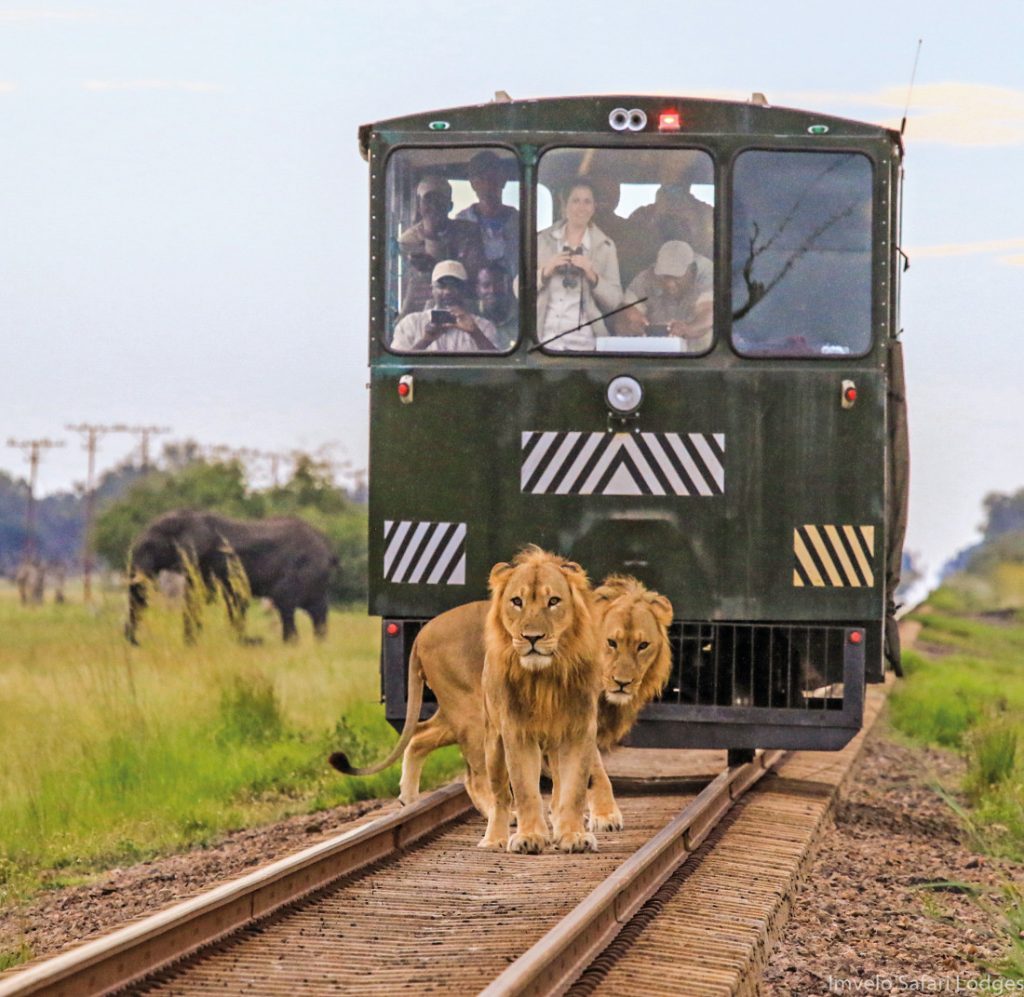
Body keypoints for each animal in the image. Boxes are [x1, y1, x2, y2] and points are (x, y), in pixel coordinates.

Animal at [125, 509, 337, 644]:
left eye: (150, 546)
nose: (136, 642)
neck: (189, 517)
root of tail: (328, 548)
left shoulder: (212, 559)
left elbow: (221, 598)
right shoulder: (201, 564)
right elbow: (202, 598)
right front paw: (191, 644)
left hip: (304, 569)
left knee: (285, 602)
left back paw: (289, 645)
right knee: (318, 612)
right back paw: (319, 645)